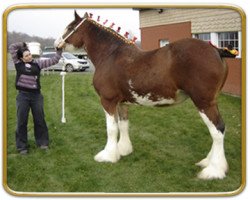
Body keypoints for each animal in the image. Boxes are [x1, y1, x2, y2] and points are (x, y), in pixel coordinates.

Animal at [54, 10, 232, 180]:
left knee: (217, 130)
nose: (56, 45)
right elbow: (123, 125)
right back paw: (208, 162)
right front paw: (123, 150)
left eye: (70, 28)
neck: (110, 55)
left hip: (204, 103)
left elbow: (111, 129)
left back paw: (214, 170)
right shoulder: (121, 103)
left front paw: (108, 156)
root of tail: (216, 50)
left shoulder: (107, 101)